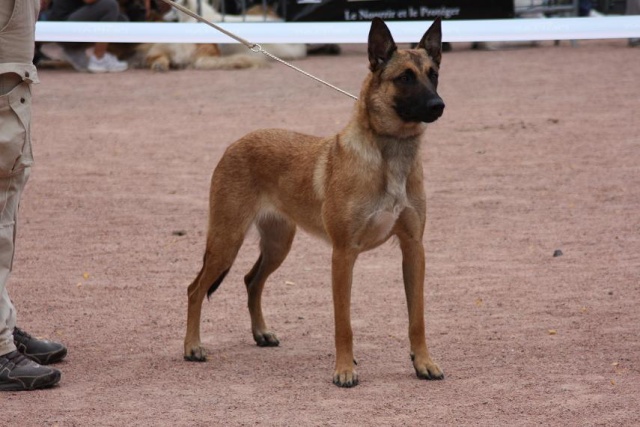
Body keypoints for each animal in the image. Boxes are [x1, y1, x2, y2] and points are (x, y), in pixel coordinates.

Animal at [184, 16, 444, 388]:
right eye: (405, 77)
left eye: (433, 73)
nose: (438, 105)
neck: (389, 154)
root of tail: (237, 142)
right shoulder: (344, 255)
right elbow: (344, 323)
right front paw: (344, 370)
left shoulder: (413, 249)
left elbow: (417, 318)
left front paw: (423, 362)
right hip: (226, 240)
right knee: (194, 289)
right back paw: (192, 346)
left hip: (278, 244)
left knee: (251, 280)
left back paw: (261, 333)